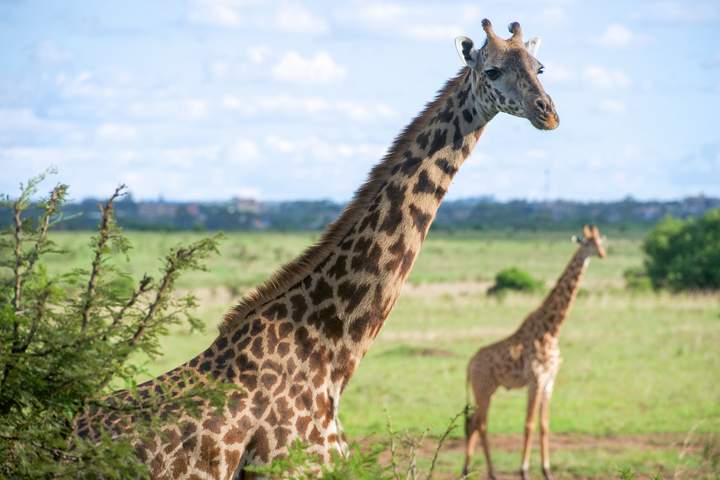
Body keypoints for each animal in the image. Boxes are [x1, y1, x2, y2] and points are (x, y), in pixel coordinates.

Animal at [462, 226, 608, 480]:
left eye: (600, 241)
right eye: (587, 243)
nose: (602, 254)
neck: (552, 329)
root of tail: (469, 364)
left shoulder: (549, 381)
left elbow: (544, 425)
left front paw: (547, 470)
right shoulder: (535, 380)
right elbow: (529, 424)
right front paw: (524, 470)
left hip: (487, 389)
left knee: (474, 423)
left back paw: (468, 469)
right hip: (483, 389)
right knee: (480, 424)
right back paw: (489, 472)